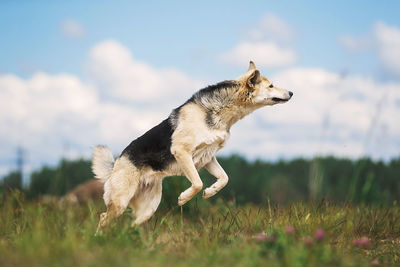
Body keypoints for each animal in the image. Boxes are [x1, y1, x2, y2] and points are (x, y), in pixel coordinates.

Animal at [93, 61, 294, 231]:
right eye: (271, 86)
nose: (292, 93)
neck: (221, 112)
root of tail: (116, 165)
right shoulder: (182, 152)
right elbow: (197, 183)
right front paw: (184, 197)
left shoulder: (208, 157)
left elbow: (224, 178)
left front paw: (210, 192)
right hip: (121, 201)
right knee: (103, 217)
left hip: (147, 209)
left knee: (130, 223)